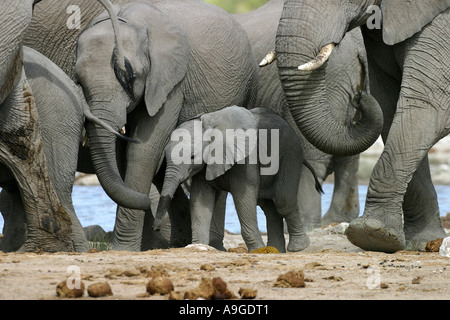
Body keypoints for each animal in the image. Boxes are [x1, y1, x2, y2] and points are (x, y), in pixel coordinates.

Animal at [74, 0, 256, 250]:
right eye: (78, 81)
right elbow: (123, 157)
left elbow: (144, 151)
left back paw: (212, 245)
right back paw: (181, 241)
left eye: (130, 76)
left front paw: (125, 249)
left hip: (244, 90)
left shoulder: (169, 83)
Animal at [153, 106, 322, 254]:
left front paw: (257, 250)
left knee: (282, 200)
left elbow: (243, 196)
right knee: (268, 207)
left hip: (290, 155)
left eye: (193, 156)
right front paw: (198, 247)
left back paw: (298, 247)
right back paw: (276, 251)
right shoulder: (204, 167)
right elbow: (201, 201)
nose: (155, 228)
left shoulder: (246, 159)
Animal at [232, 0, 376, 230]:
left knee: (312, 155)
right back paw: (335, 220)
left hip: (332, 78)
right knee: (349, 155)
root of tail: (357, 47)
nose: (359, 97)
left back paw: (307, 224)